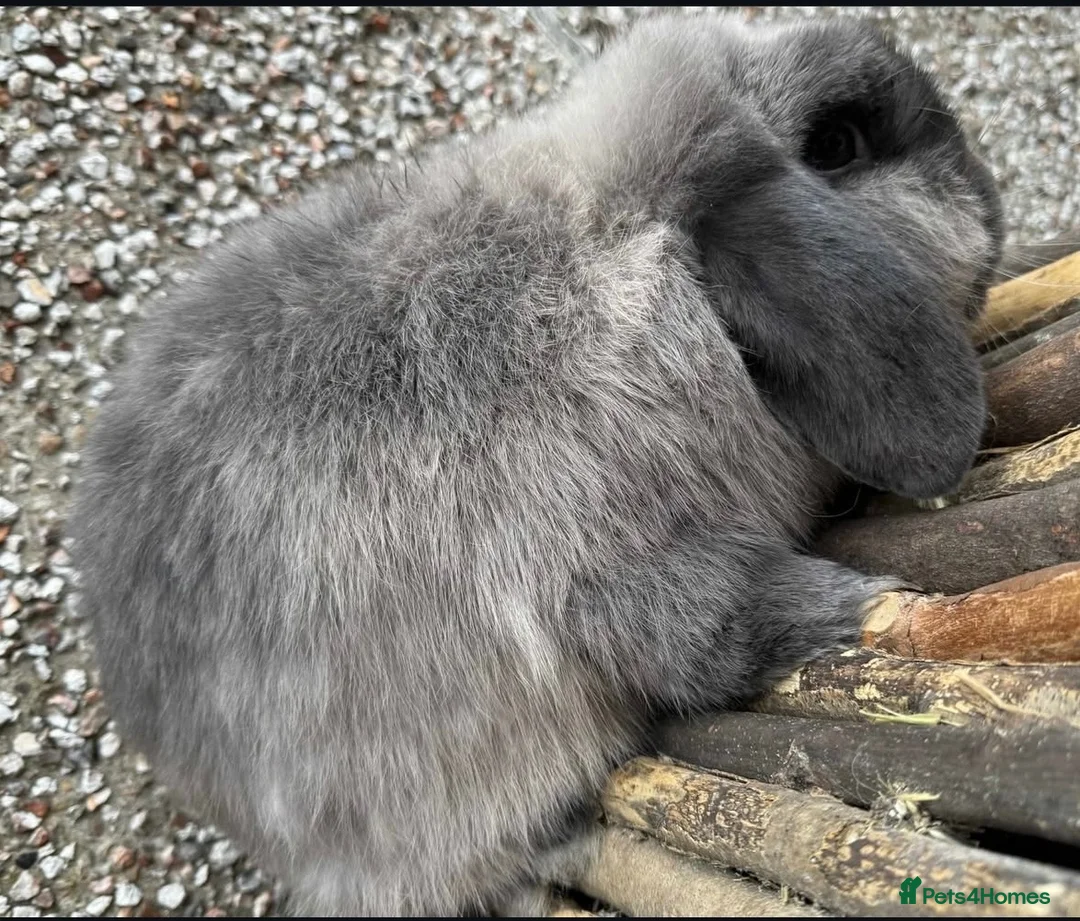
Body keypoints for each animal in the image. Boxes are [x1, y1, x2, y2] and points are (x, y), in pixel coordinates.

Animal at [68, 10, 1003, 917]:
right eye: (838, 144)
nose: (992, 197)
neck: (633, 270)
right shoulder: (593, 567)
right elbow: (711, 634)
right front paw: (857, 602)